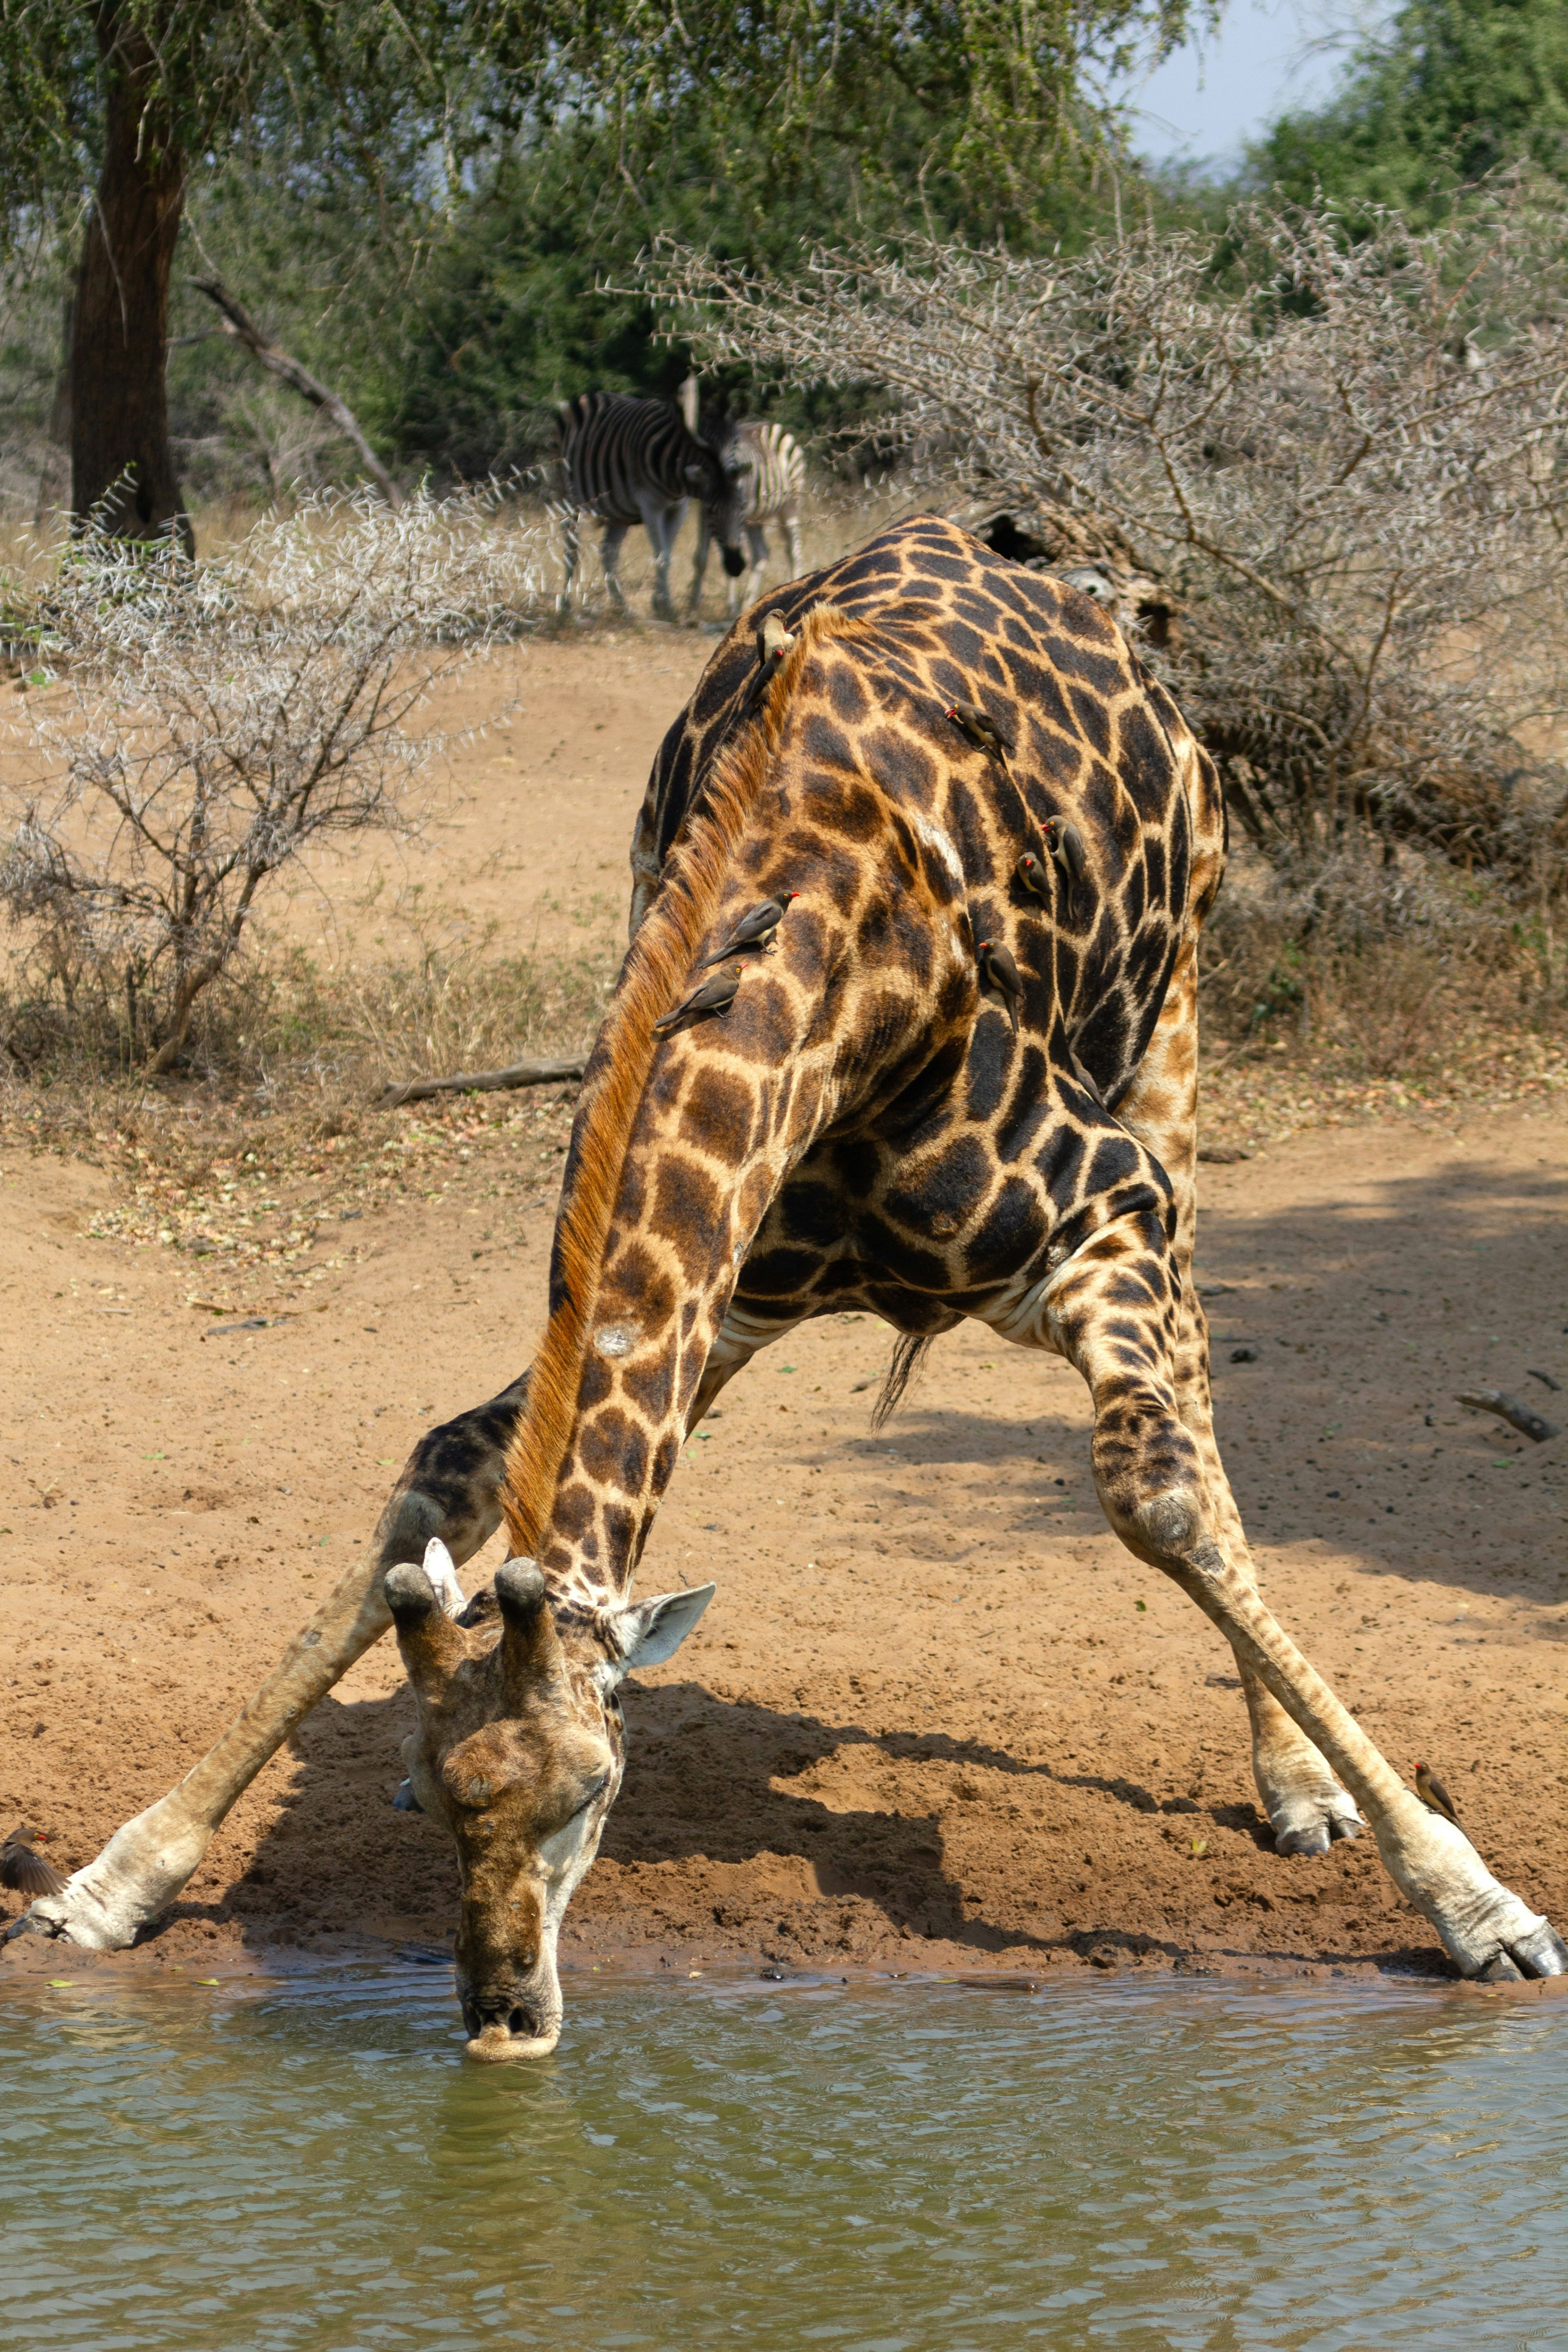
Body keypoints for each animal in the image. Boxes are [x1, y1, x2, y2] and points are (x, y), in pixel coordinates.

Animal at [18, 515, 1564, 2055]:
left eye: (598, 1788)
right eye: (453, 1803)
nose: (507, 2015)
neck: (827, 959)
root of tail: (1077, 572)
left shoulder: (1099, 1209)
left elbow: (1159, 1495)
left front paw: (1478, 1905)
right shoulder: (726, 1294)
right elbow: (442, 1465)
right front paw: (112, 1879)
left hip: (1175, 1018)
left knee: (1193, 1393)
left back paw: (1299, 1787)